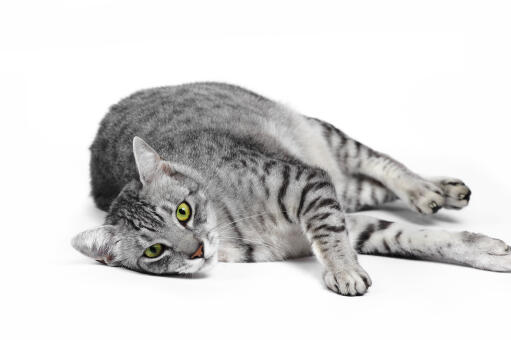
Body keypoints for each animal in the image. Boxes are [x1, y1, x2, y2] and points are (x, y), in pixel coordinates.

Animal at [71, 81, 511, 294]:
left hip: (326, 137)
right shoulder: (346, 216)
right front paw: (486, 252)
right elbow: (410, 237)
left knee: (383, 164)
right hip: (345, 188)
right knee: (372, 186)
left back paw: (429, 190)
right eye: (155, 251)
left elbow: (331, 236)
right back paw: (444, 191)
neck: (235, 225)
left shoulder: (306, 182)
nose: (196, 250)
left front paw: (343, 270)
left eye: (183, 211)